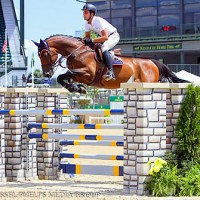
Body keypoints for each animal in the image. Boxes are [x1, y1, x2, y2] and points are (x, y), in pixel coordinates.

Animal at [32, 34, 189, 94]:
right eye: (38, 55)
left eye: (44, 54)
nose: (47, 74)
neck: (78, 52)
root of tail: (152, 62)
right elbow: (63, 77)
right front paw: (76, 88)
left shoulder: (87, 75)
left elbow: (67, 74)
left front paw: (76, 88)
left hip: (149, 82)